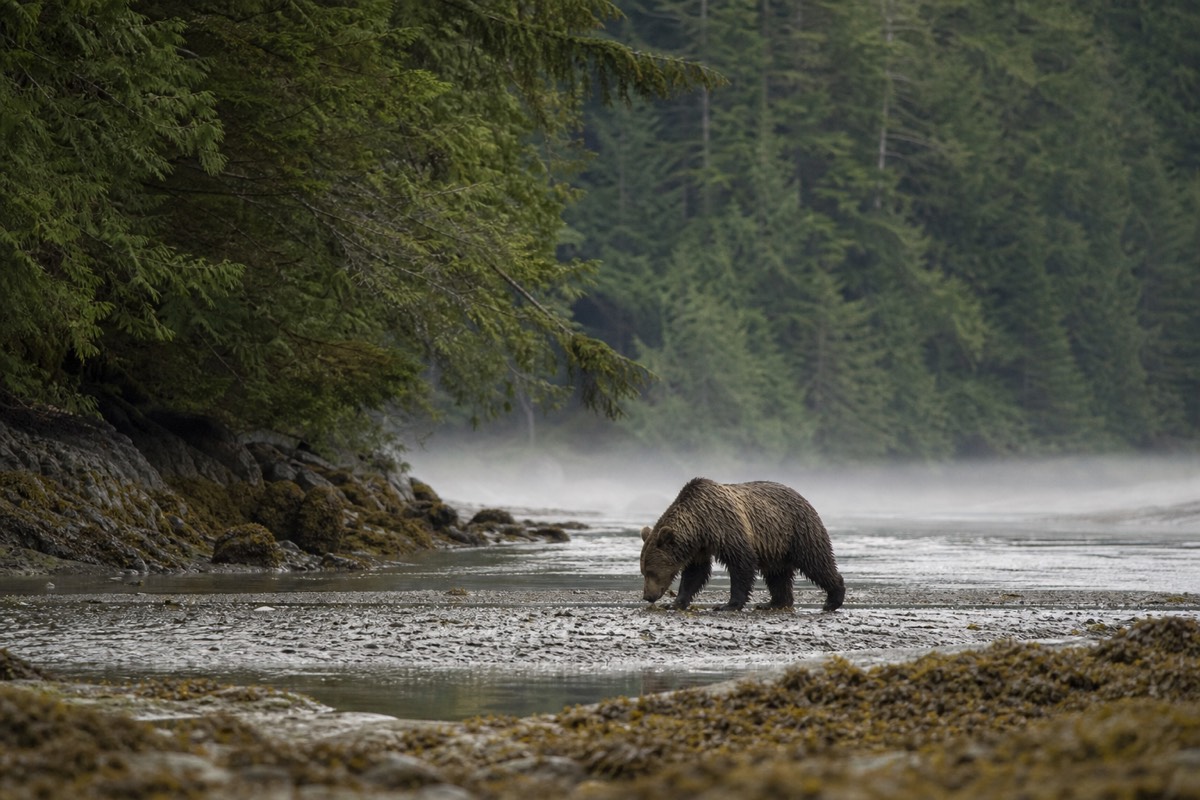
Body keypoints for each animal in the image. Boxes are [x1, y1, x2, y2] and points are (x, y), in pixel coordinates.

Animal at [640, 477, 844, 612]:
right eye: (643, 571)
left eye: (651, 571)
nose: (647, 596)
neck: (700, 525)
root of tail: (802, 496)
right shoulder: (699, 548)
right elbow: (694, 574)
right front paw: (674, 603)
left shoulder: (727, 527)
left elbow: (742, 563)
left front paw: (728, 605)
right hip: (776, 545)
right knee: (777, 574)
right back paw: (772, 603)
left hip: (799, 531)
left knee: (816, 562)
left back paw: (832, 600)